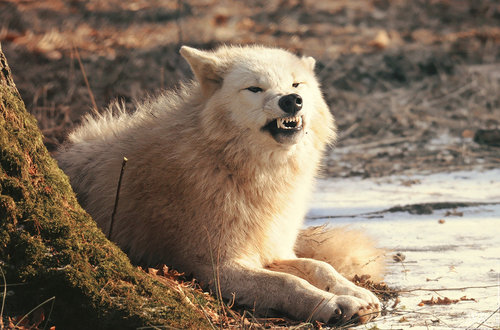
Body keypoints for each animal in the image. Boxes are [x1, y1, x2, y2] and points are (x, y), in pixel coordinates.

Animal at [56, 44, 380, 324]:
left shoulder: (271, 251)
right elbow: (289, 282)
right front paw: (334, 304)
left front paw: (355, 292)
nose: (291, 100)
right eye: (255, 89)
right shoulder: (217, 267)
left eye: (296, 84)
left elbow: (319, 266)